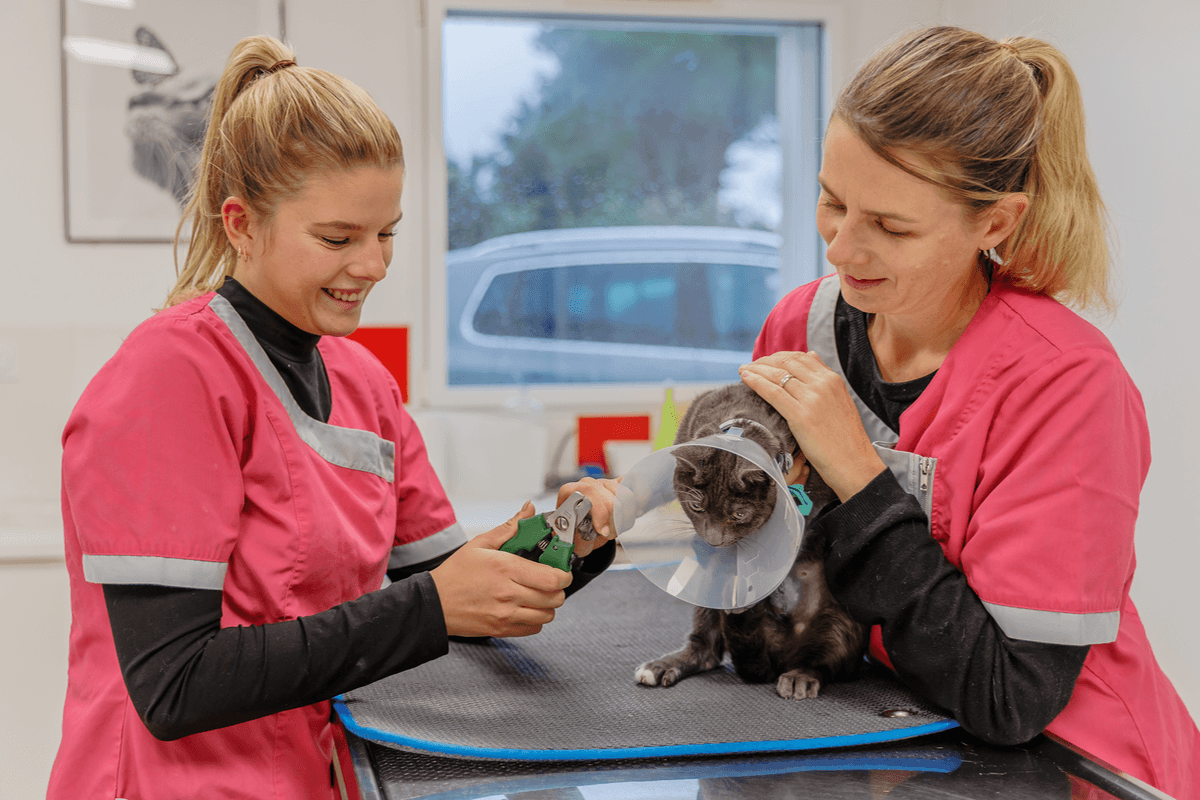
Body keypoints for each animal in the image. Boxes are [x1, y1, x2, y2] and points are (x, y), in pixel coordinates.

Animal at [633, 381, 868, 700]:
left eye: (740, 514)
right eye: (696, 507)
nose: (713, 541)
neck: (740, 424)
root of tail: (781, 652)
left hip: (843, 620)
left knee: (827, 659)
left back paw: (801, 675)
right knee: (707, 648)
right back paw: (665, 664)